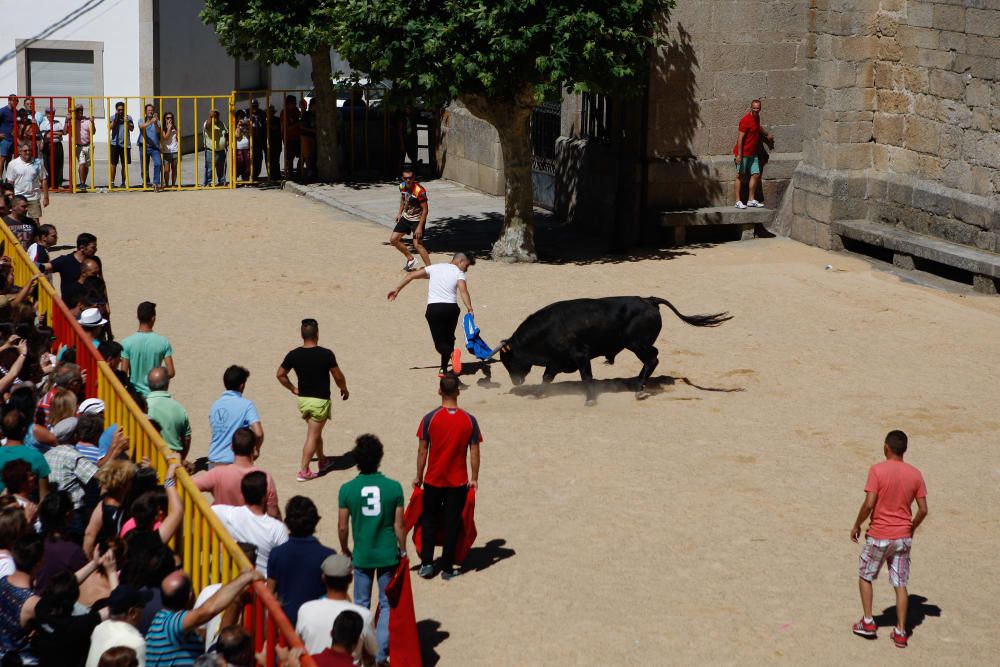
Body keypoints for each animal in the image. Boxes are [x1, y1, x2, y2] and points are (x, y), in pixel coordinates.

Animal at [496, 298, 732, 404]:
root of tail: (649, 300)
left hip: (636, 344)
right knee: (652, 358)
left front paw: (590, 400)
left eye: (508, 361)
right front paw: (537, 394)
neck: (548, 329)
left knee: (653, 358)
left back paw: (639, 388)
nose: (515, 381)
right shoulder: (557, 361)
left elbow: (586, 376)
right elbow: (546, 377)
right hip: (636, 345)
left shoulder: (581, 356)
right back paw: (637, 384)